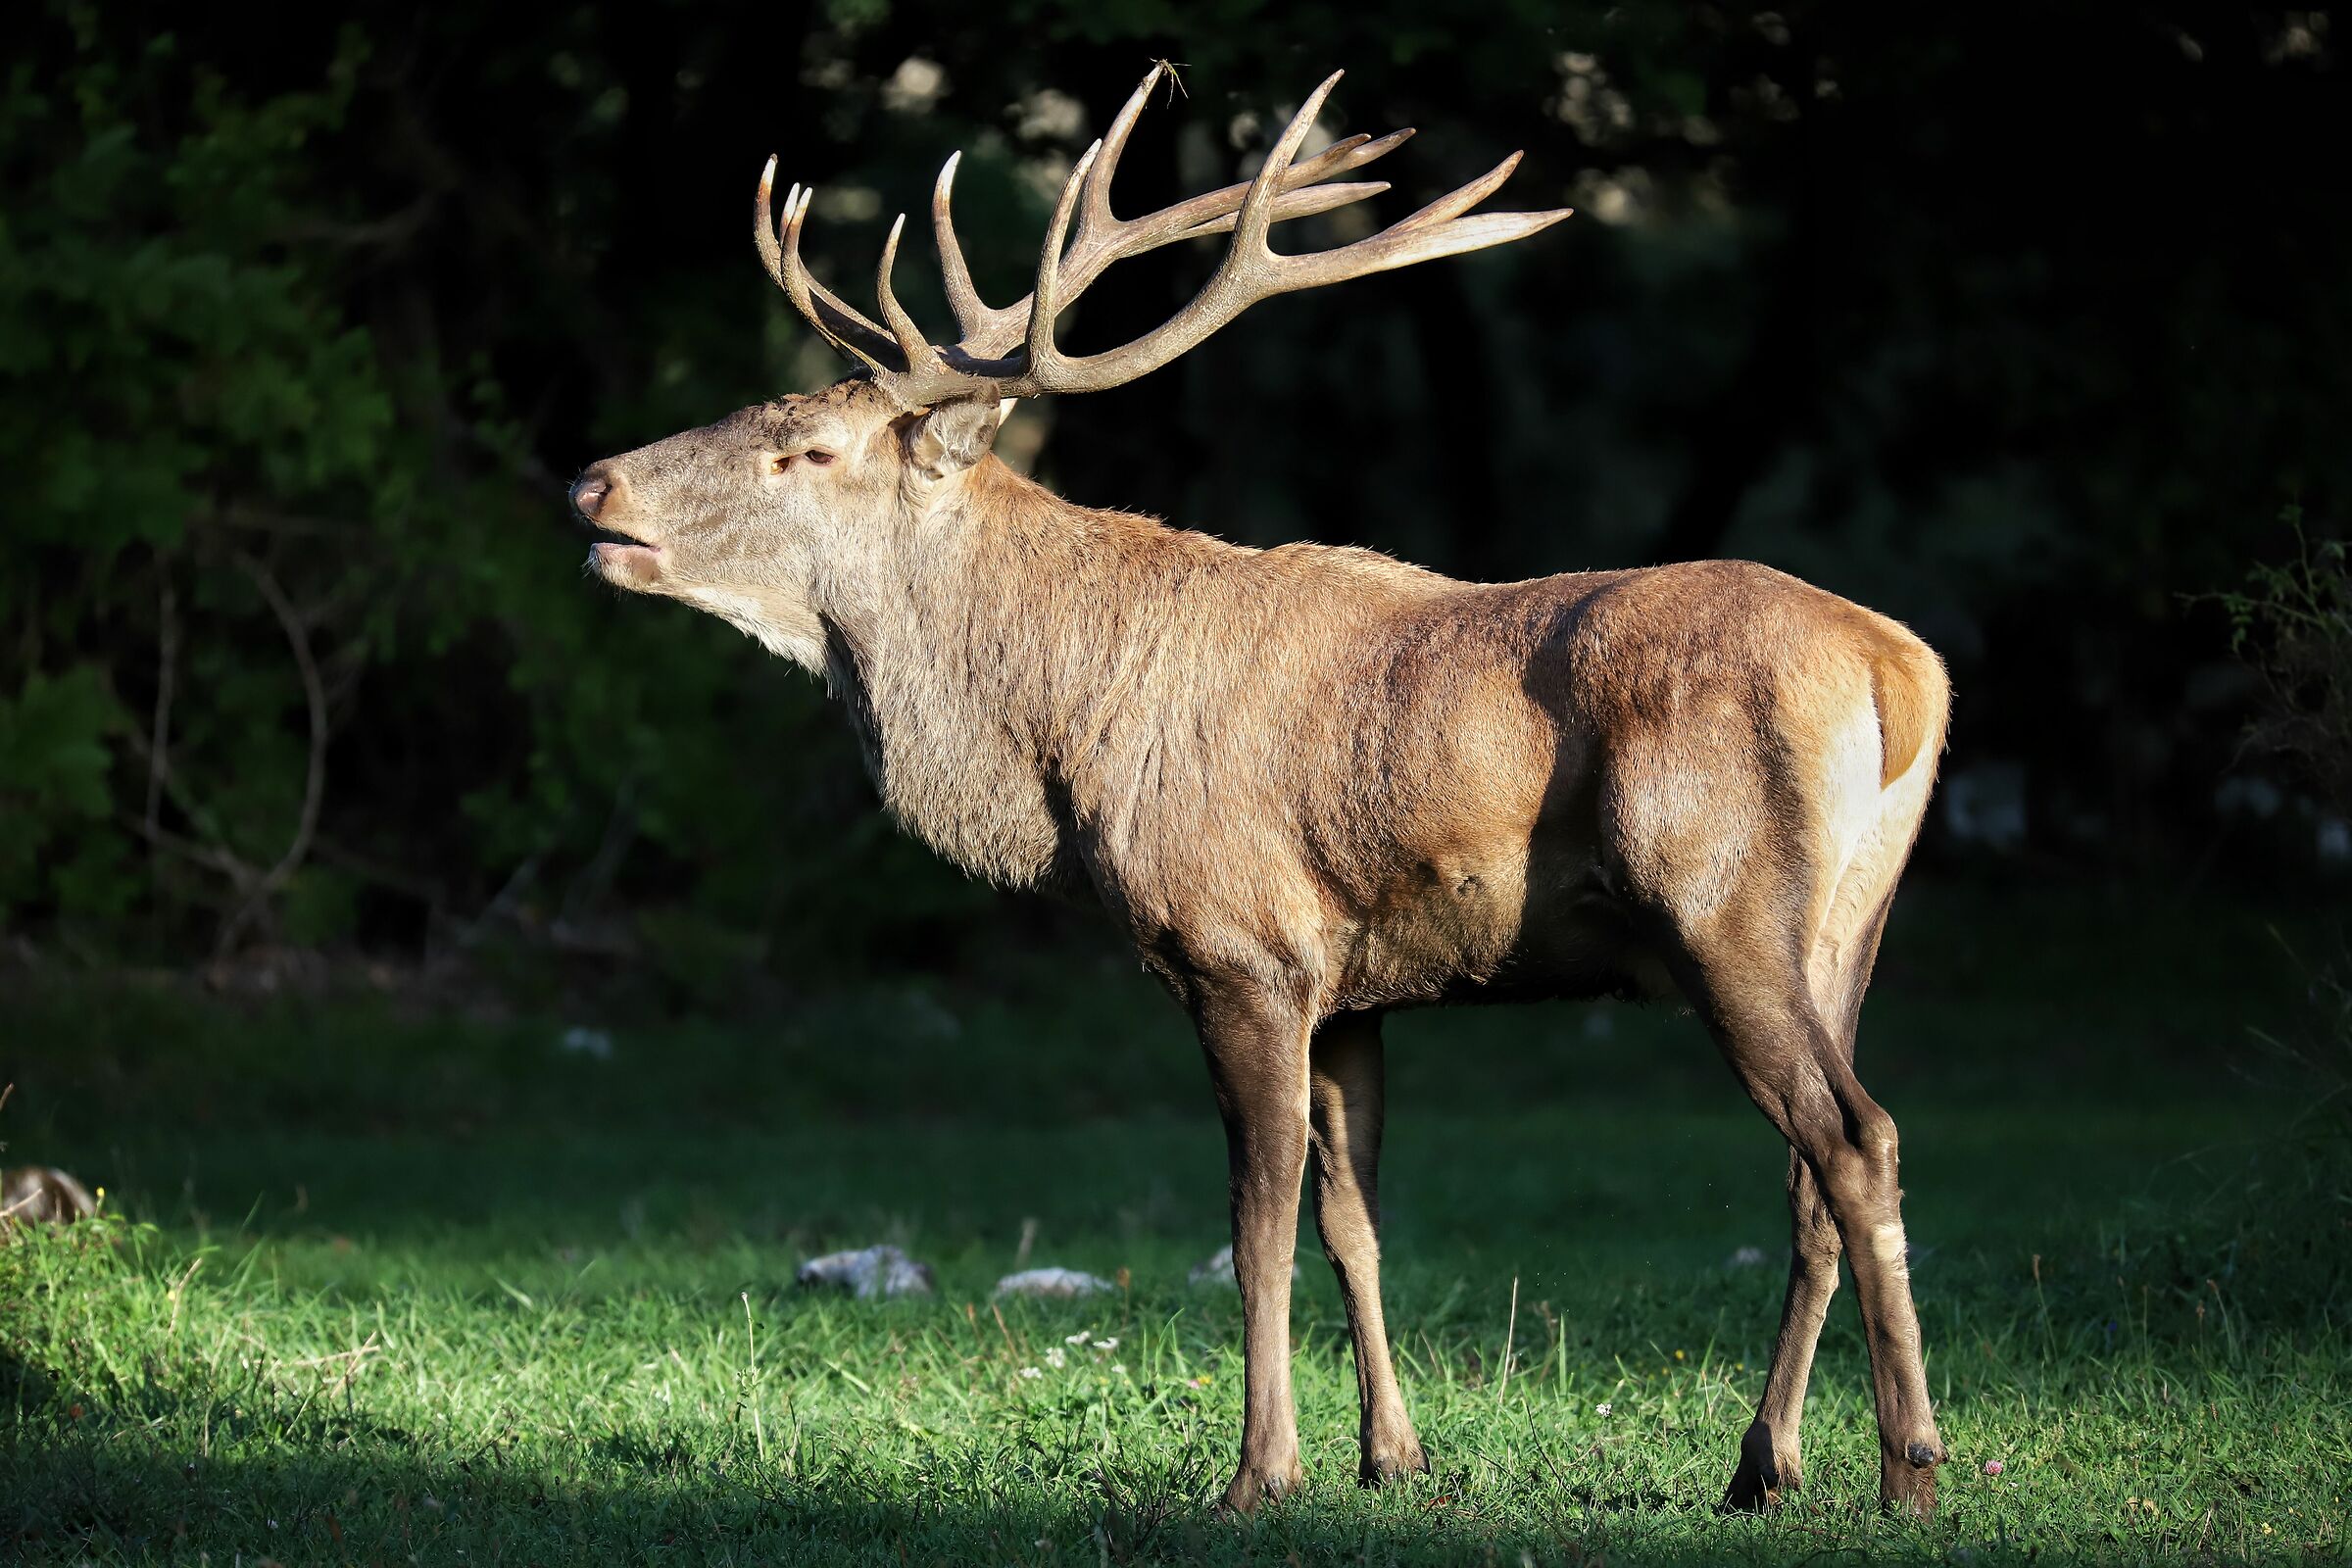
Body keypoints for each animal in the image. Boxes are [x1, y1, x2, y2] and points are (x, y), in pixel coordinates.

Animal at [571, 65, 1953, 1518]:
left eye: (810, 451)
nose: (590, 481)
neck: (1062, 754)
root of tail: (1903, 670)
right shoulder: (1354, 985)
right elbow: (1354, 1218)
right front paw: (1391, 1454)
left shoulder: (1243, 948)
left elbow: (1257, 1221)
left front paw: (1259, 1471)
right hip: (1845, 925)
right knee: (1809, 1166)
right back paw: (1763, 1461)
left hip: (1720, 900)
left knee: (1853, 1137)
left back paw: (1909, 1461)